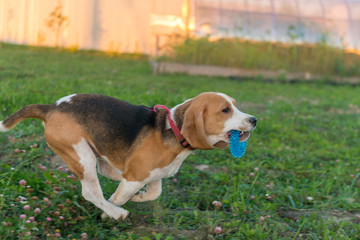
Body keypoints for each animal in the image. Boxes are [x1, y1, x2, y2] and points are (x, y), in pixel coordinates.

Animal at [1, 93, 258, 220]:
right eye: (225, 110)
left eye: (235, 106)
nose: (254, 120)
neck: (173, 129)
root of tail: (50, 108)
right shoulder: (135, 175)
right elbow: (120, 196)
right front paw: (110, 211)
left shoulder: (152, 174)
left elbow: (154, 193)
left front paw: (138, 197)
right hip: (81, 155)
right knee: (91, 192)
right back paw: (116, 214)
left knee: (103, 174)